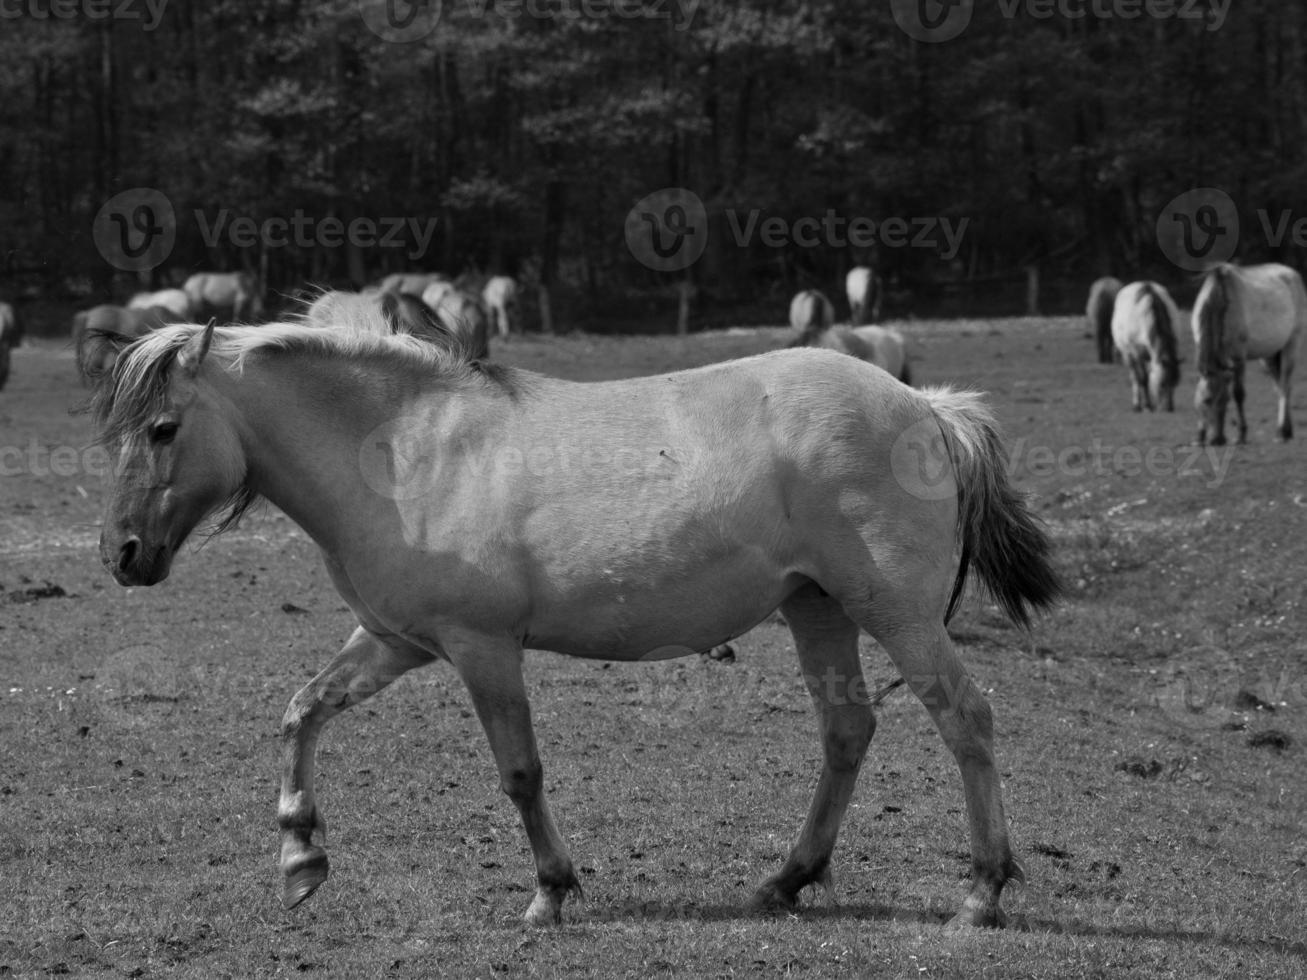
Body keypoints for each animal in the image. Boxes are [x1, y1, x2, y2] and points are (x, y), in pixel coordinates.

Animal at [1108, 282, 1181, 412]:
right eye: (1162, 384)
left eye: (1175, 383)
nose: (1169, 408)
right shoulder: (1136, 353)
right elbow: (1142, 378)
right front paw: (1147, 406)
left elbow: (1148, 377)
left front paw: (1151, 404)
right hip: (1128, 354)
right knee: (1135, 376)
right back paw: (1137, 404)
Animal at [1191, 261, 1301, 444]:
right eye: (1206, 401)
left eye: (1225, 399)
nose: (1216, 440)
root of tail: (1292, 274)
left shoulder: (1238, 357)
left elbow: (1239, 393)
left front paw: (1241, 434)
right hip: (1269, 356)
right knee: (1280, 386)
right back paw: (1287, 430)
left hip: (1291, 345)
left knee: (1285, 384)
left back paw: (1282, 431)